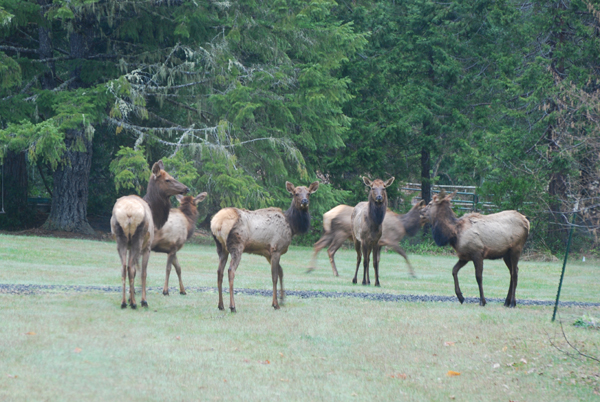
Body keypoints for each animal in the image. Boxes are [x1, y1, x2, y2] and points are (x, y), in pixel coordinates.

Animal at [110, 160, 189, 308]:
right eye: (167, 179)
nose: (186, 188)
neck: (154, 210)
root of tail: (128, 213)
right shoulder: (147, 247)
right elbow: (143, 272)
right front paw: (141, 299)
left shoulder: (129, 246)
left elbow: (133, 270)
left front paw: (130, 296)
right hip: (139, 238)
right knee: (132, 268)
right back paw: (136, 303)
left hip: (120, 239)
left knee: (124, 268)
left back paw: (124, 302)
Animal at [213, 181, 322, 310]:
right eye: (296, 193)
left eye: (309, 193)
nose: (304, 201)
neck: (292, 226)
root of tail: (217, 223)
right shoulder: (276, 249)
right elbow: (274, 276)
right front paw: (275, 304)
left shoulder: (267, 253)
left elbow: (281, 271)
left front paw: (283, 299)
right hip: (237, 246)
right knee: (231, 271)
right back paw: (233, 306)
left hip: (221, 248)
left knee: (219, 272)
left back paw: (221, 305)